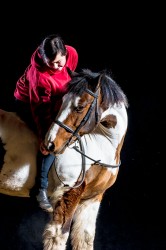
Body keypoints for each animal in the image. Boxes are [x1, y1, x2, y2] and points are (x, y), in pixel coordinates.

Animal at [0, 67, 128, 249]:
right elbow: (58, 237)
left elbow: (85, 239)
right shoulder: (67, 197)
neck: (101, 144)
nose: (50, 143)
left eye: (80, 107)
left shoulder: (92, 200)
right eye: (61, 102)